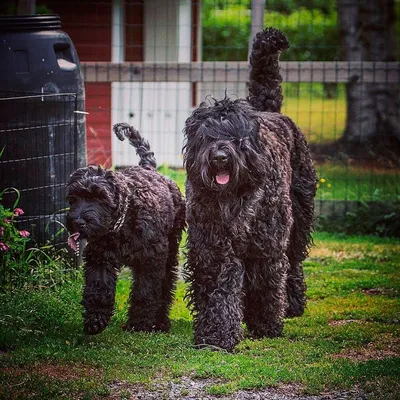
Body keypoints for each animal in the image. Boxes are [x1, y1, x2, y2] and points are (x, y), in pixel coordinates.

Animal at [66, 123, 185, 336]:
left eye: (100, 197)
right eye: (73, 198)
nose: (78, 222)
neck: (122, 223)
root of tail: (148, 168)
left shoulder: (150, 260)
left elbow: (145, 292)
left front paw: (139, 323)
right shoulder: (100, 257)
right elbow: (99, 288)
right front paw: (95, 319)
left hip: (171, 250)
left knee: (166, 285)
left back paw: (161, 322)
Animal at [183, 27, 318, 350]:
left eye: (235, 136)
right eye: (207, 136)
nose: (220, 157)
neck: (233, 199)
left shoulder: (265, 247)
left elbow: (266, 281)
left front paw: (266, 323)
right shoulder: (212, 247)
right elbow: (219, 288)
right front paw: (216, 334)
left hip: (300, 219)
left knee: (294, 262)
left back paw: (292, 304)